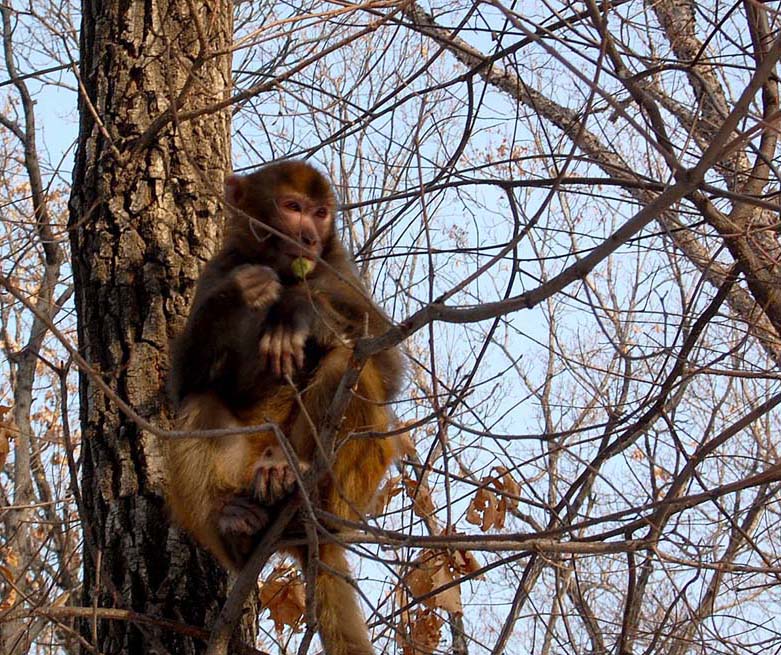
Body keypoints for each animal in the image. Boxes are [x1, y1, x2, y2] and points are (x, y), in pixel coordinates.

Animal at [163, 161, 402, 655]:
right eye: (292, 207)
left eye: (320, 213)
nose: (309, 237)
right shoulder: (217, 268)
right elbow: (184, 386)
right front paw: (238, 295)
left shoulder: (339, 271)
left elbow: (386, 363)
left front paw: (298, 310)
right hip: (241, 470)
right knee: (202, 400)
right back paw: (235, 523)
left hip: (347, 498)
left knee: (347, 362)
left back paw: (293, 473)